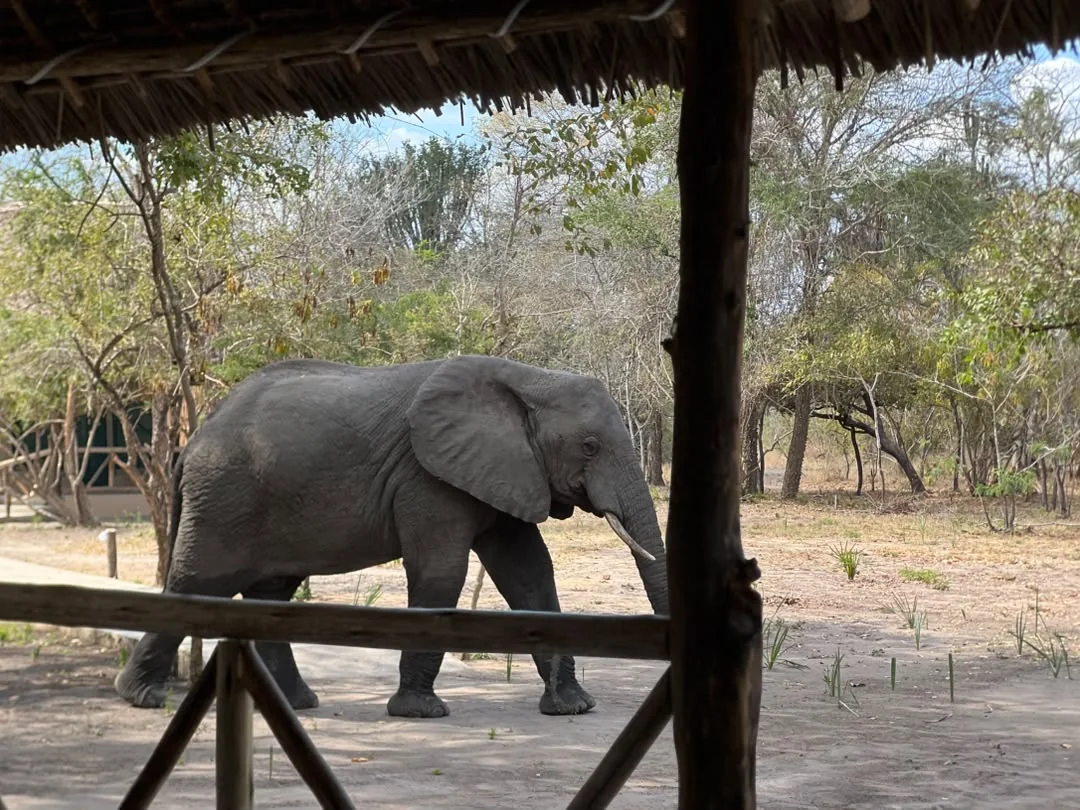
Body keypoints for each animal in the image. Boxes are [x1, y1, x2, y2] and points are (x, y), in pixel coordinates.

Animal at [114, 354, 669, 718]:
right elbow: (442, 572)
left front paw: (573, 708)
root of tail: (192, 443)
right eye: (590, 447)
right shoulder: (428, 476)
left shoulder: (509, 469)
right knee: (197, 581)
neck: (529, 378)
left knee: (270, 593)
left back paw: (297, 704)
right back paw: (140, 697)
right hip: (225, 497)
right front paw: (421, 712)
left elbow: (529, 573)